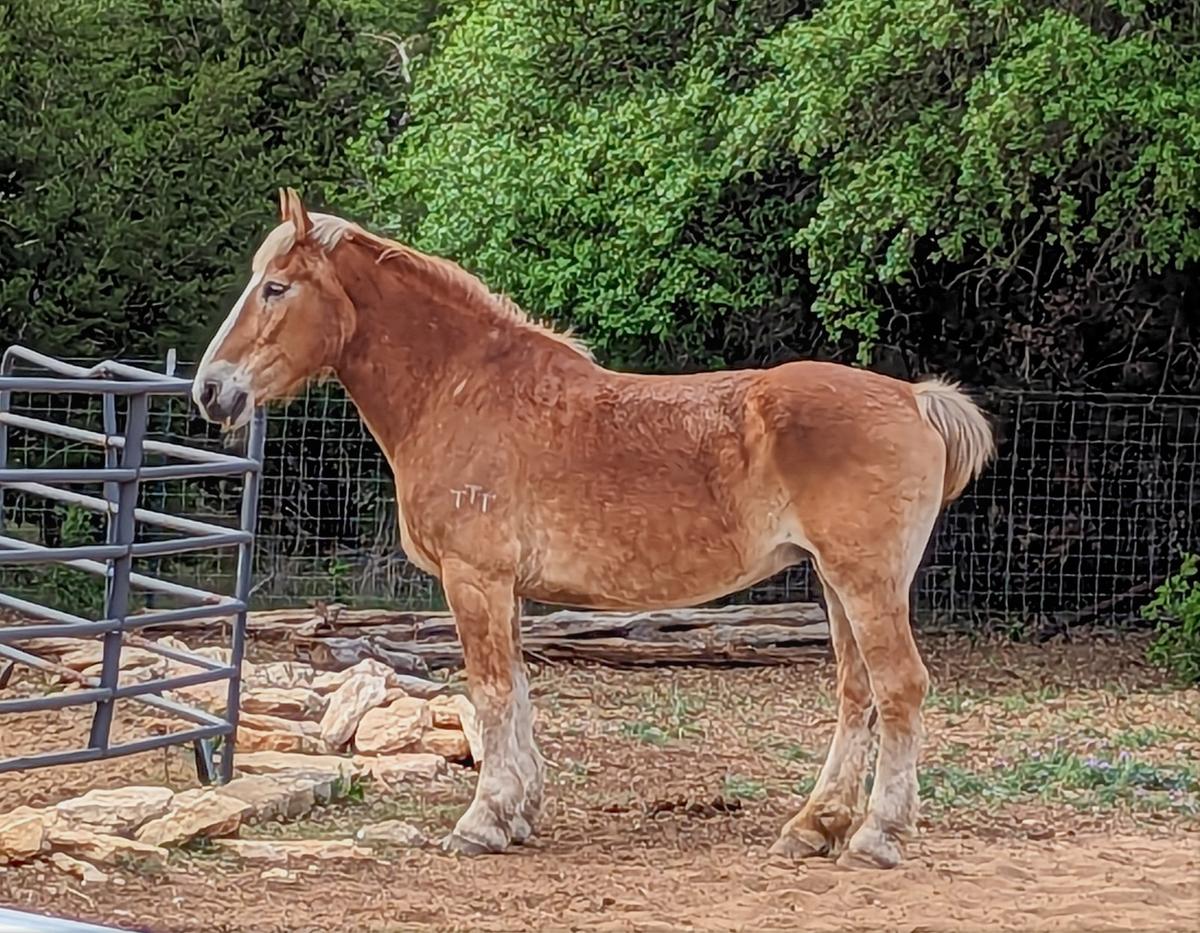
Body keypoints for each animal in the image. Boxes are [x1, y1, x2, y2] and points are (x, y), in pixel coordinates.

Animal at [193, 188, 994, 869]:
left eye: (275, 287)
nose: (210, 390)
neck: (460, 389)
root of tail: (916, 399)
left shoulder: (475, 580)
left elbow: (490, 690)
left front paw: (482, 820)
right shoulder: (506, 590)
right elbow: (515, 691)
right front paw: (519, 813)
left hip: (864, 583)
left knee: (898, 688)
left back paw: (877, 836)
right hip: (835, 583)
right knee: (857, 694)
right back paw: (814, 826)